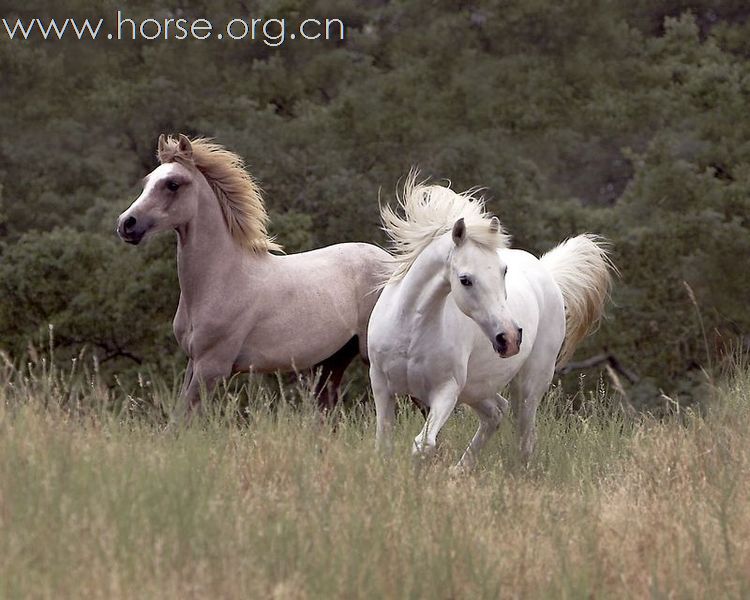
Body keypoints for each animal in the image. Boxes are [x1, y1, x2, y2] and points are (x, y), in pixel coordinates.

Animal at [370, 178, 616, 468]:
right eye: (465, 279)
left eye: (503, 271)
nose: (509, 338)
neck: (410, 331)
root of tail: (546, 273)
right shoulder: (382, 386)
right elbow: (383, 444)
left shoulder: (446, 390)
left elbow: (423, 444)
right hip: (476, 389)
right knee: (496, 413)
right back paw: (459, 470)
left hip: (528, 385)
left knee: (524, 437)